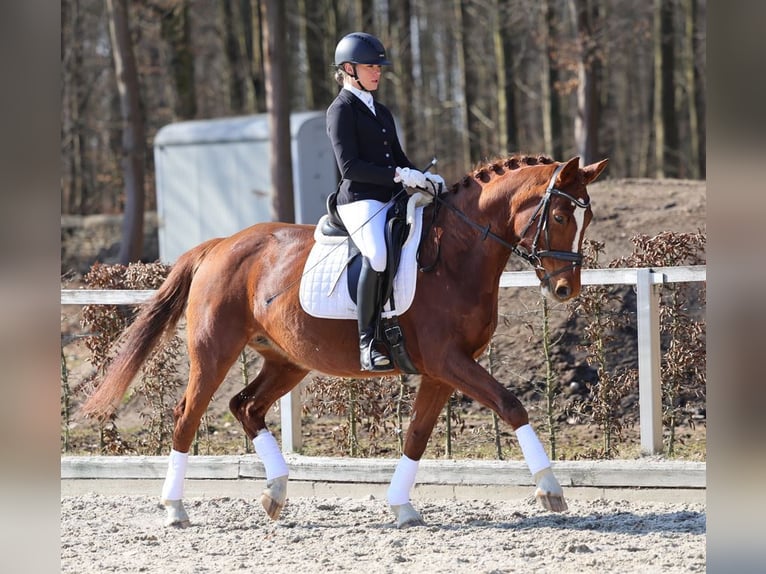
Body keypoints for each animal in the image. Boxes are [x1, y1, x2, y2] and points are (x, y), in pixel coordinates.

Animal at [80, 154, 608, 528]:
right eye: (560, 215)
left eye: (585, 219)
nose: (566, 289)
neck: (455, 255)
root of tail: (219, 245)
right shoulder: (449, 361)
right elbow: (511, 405)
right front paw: (550, 489)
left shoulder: (442, 370)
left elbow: (417, 435)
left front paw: (401, 507)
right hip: (214, 352)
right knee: (187, 415)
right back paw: (175, 509)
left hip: (288, 360)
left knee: (245, 406)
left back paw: (274, 493)